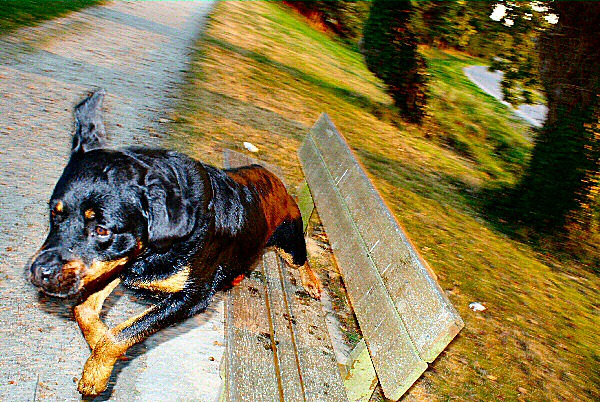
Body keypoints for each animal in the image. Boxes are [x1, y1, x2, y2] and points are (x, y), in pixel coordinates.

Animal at [27, 88, 322, 396]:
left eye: (102, 230)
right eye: (54, 213)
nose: (39, 272)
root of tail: (276, 180)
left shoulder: (190, 298)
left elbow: (121, 334)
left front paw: (96, 374)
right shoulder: (118, 262)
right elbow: (84, 311)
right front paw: (101, 348)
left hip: (289, 241)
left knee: (302, 259)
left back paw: (312, 282)